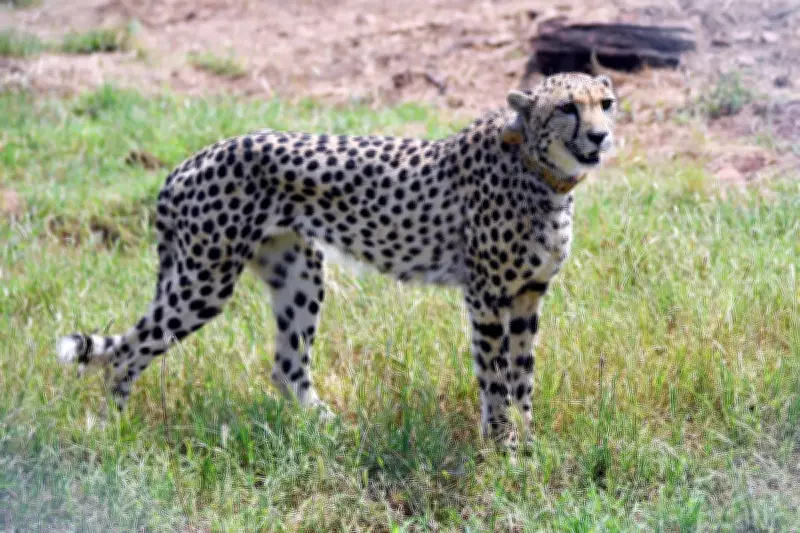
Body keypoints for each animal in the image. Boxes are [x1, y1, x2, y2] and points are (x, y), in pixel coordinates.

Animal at [56, 72, 618, 446]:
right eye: (568, 107)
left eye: (606, 103)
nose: (600, 135)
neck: (542, 172)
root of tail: (190, 160)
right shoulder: (487, 296)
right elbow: (496, 377)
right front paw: (503, 446)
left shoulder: (527, 296)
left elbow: (523, 375)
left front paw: (529, 441)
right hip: (204, 281)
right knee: (127, 353)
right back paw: (114, 430)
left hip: (298, 273)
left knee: (287, 367)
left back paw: (330, 429)